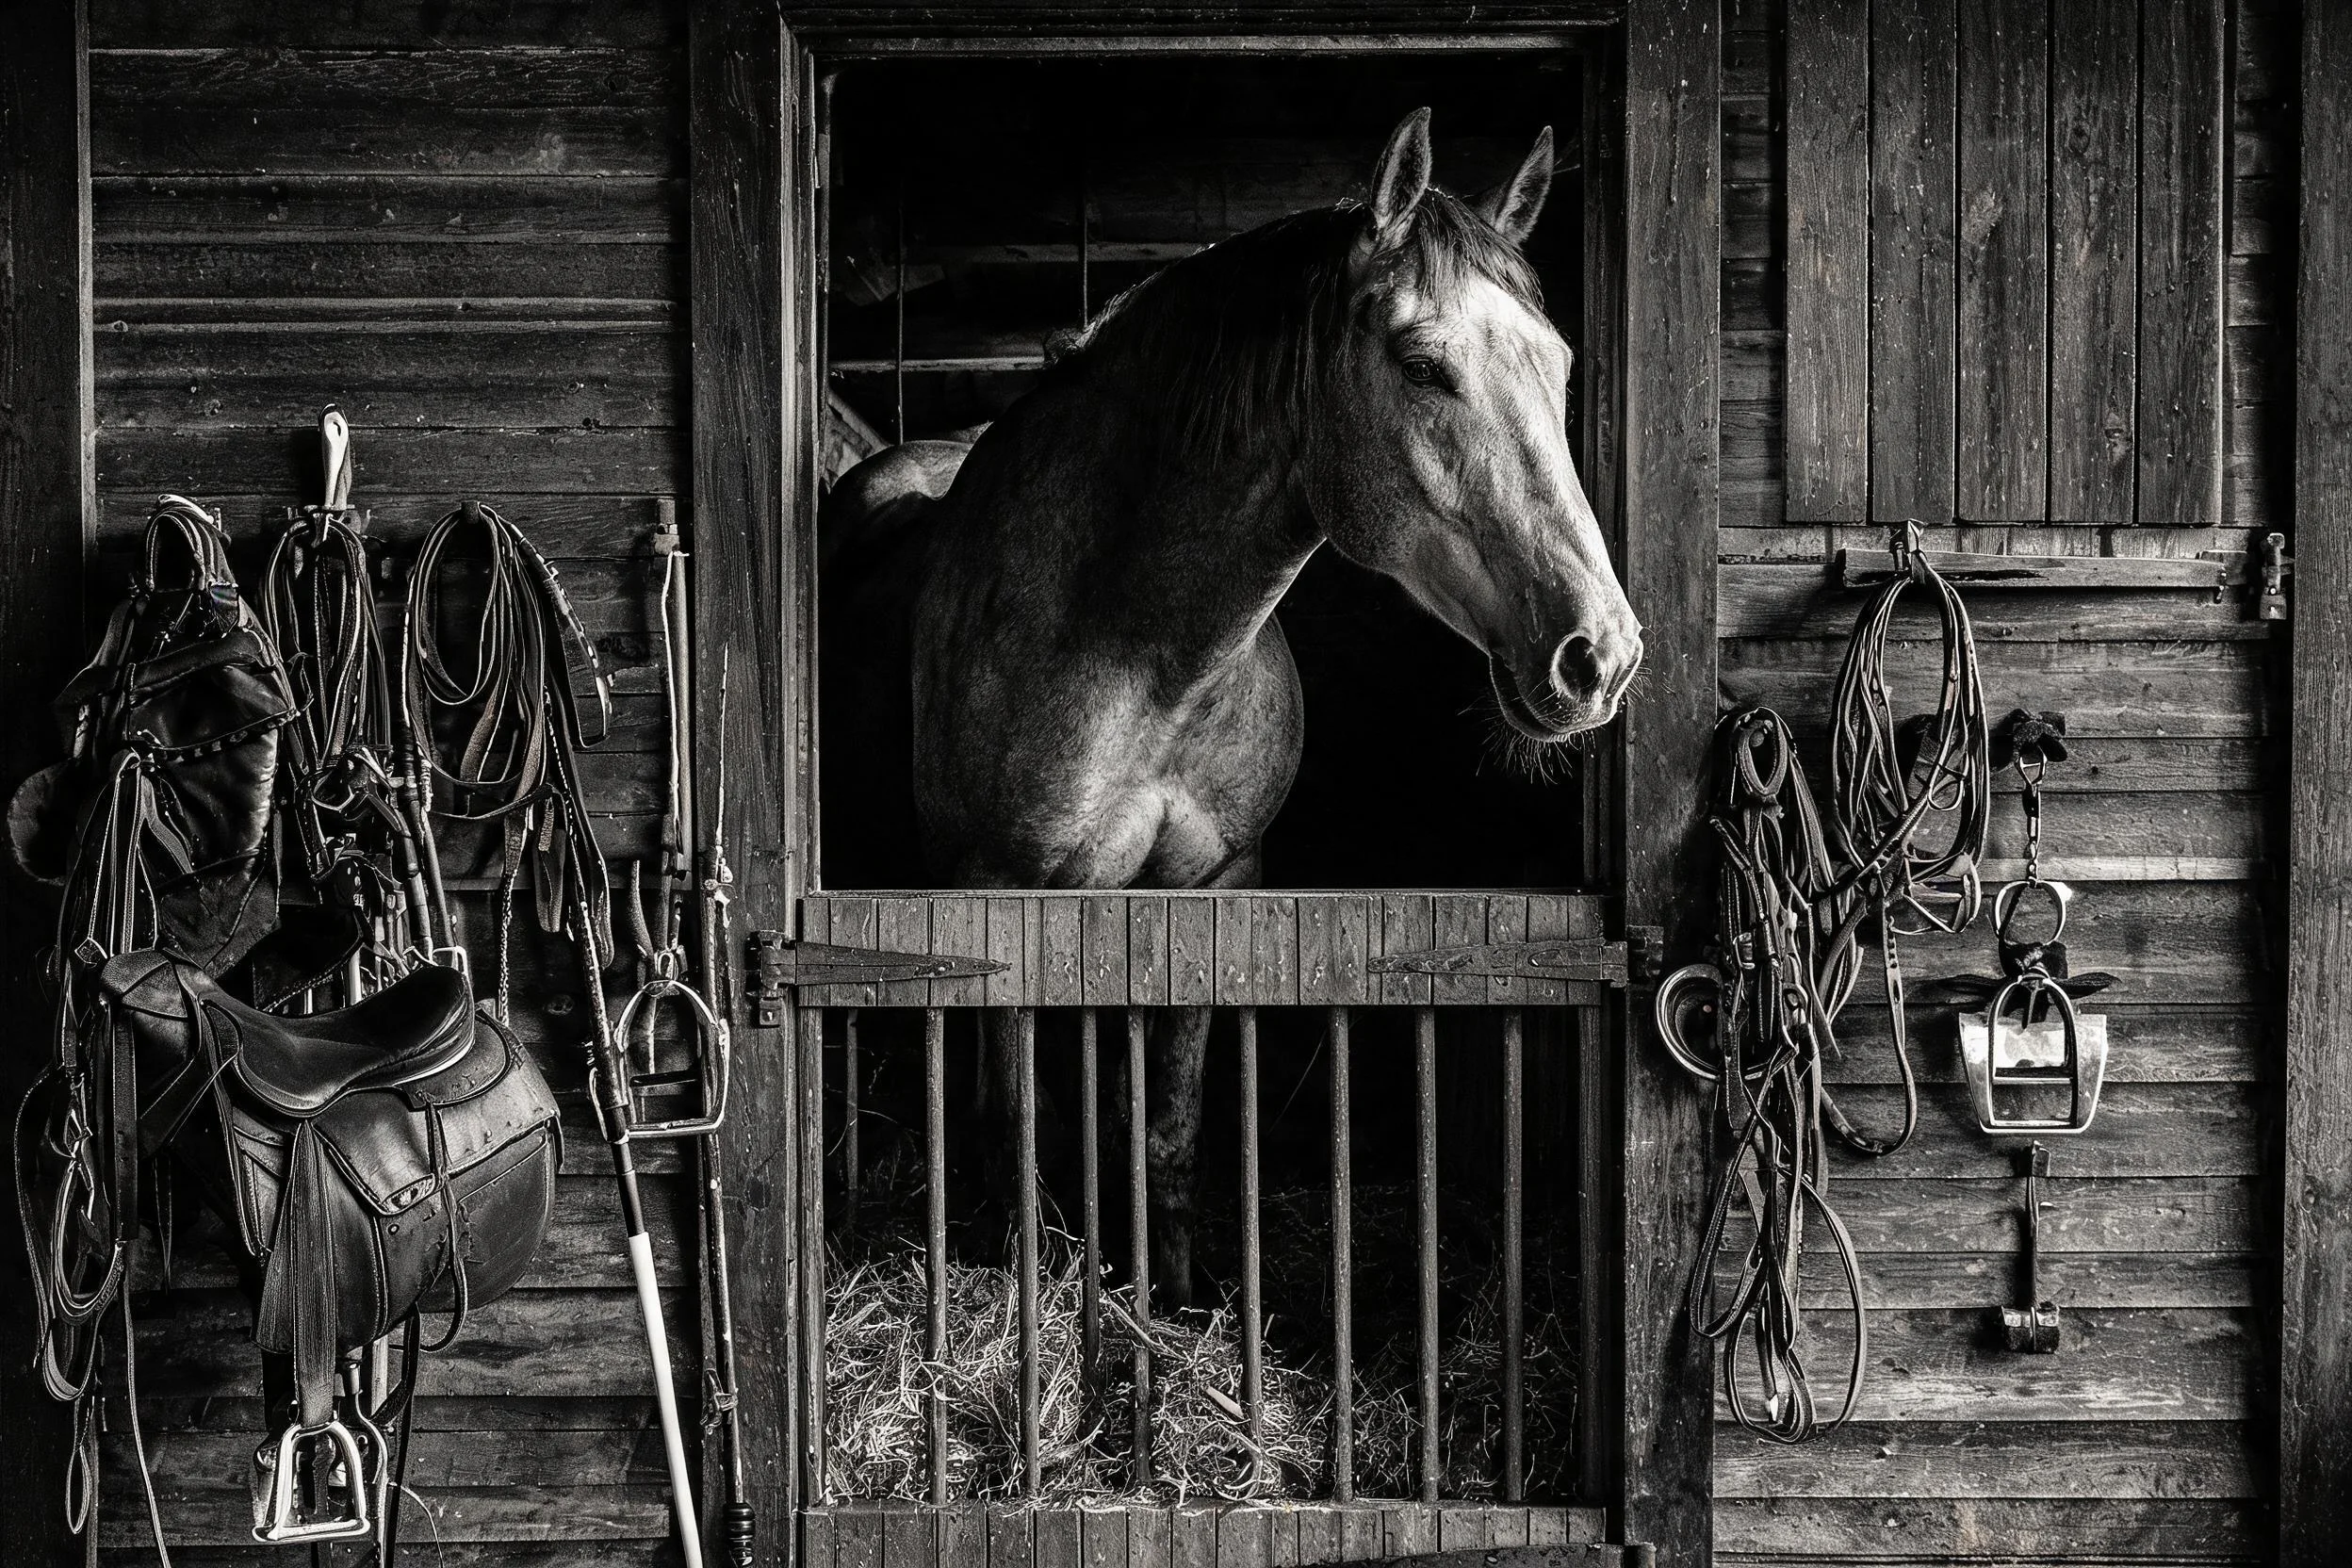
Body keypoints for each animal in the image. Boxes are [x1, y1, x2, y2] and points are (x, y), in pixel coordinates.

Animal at [820, 109, 1643, 1307]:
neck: (1141, 651)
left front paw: (1172, 1295)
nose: (1599, 655)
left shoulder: (1211, 886)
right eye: (1423, 364)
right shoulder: (995, 895)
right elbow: (1013, 1126)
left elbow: (1168, 1124)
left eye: (1561, 363)